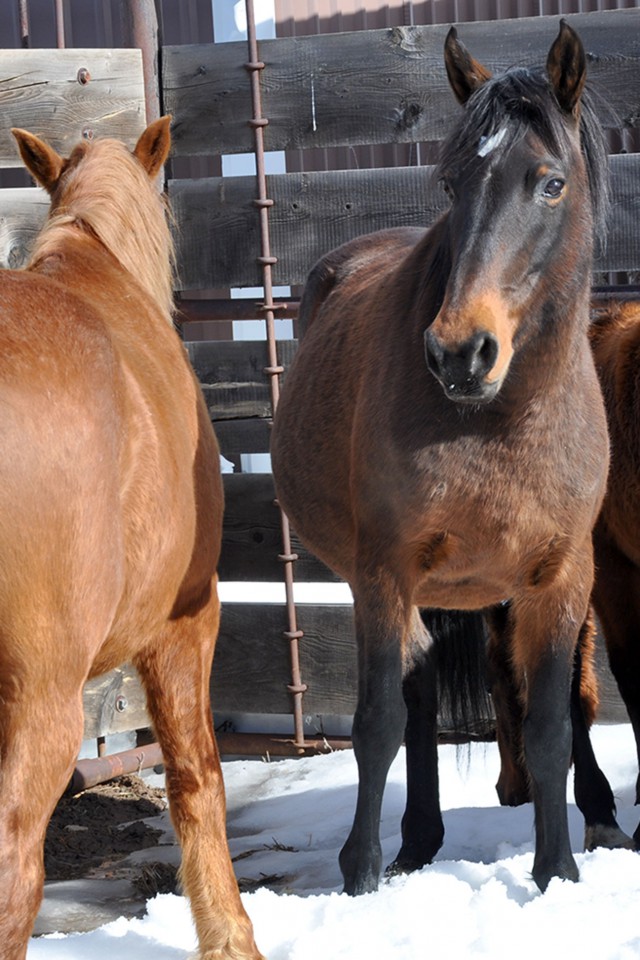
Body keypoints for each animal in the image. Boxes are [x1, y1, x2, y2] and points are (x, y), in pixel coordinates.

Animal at [271, 20, 611, 896]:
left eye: (550, 183)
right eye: (453, 185)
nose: (459, 351)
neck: (500, 424)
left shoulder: (562, 579)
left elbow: (552, 726)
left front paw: (557, 873)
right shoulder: (385, 568)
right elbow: (376, 721)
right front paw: (359, 878)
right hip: (390, 581)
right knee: (412, 699)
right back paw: (411, 843)